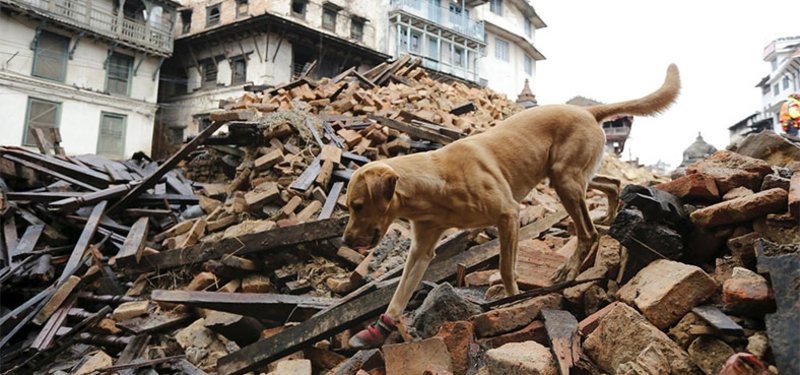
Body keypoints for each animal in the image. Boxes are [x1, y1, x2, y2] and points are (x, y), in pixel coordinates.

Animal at [344, 64, 680, 350]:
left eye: (358, 206)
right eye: (348, 207)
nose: (346, 239)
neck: (433, 182)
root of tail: (586, 111)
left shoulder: (508, 214)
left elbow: (506, 268)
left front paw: (512, 303)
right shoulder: (422, 248)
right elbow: (400, 293)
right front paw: (378, 329)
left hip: (565, 179)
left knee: (588, 233)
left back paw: (570, 269)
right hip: (567, 176)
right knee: (611, 182)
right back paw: (609, 215)